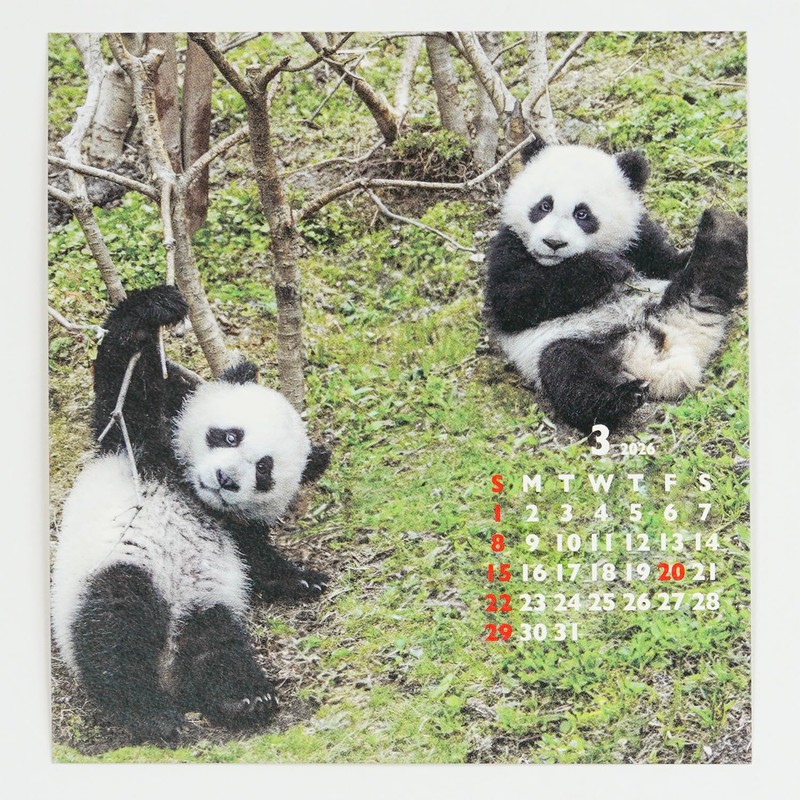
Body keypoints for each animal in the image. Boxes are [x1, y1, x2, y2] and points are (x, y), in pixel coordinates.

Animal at [51, 286, 331, 742]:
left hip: (206, 602)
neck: (191, 492)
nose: (225, 479)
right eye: (230, 436)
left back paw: (245, 698)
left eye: (264, 469)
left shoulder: (234, 529)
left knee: (217, 645)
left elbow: (258, 560)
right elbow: (120, 385)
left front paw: (305, 579)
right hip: (119, 570)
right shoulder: (139, 444)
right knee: (113, 632)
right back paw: (149, 712)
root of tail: (167, 668)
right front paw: (158, 308)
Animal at [484, 139, 748, 433]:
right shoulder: (508, 246)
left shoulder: (638, 237)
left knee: (706, 274)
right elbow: (513, 300)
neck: (554, 263)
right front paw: (606, 267)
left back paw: (722, 229)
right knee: (567, 368)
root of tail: (665, 360)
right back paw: (623, 397)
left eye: (582, 213)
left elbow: (668, 262)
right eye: (544, 205)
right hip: (583, 345)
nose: (553, 243)